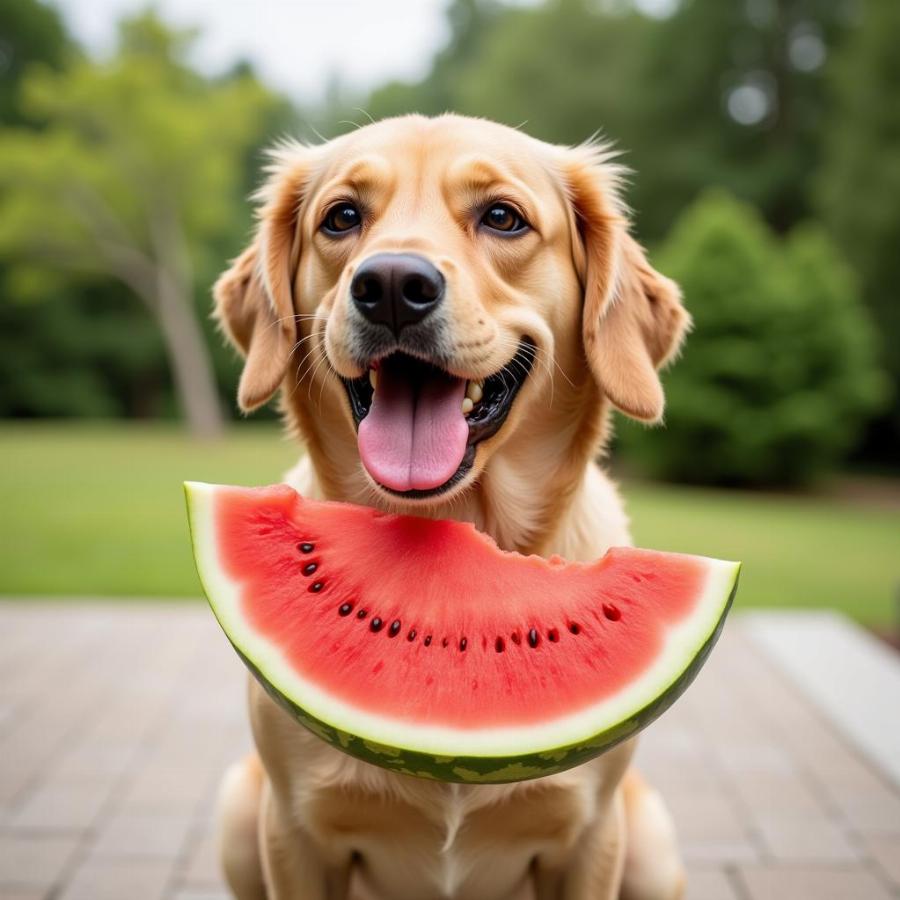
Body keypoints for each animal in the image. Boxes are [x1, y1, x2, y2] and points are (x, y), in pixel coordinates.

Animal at [211, 114, 688, 900]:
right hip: (241, 810)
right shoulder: (295, 832)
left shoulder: (591, 837)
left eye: (502, 217)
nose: (391, 285)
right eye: (342, 217)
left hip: (649, 845)